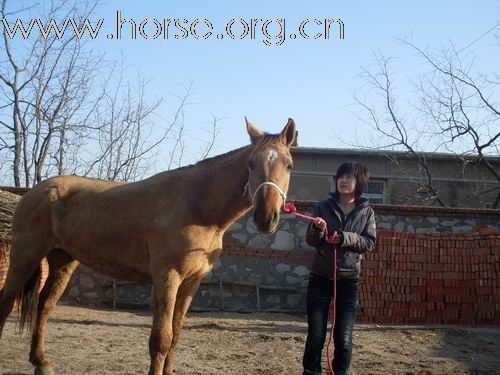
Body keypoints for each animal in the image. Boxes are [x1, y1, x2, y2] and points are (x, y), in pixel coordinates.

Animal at [0, 118, 296, 375]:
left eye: (289, 165)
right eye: (251, 163)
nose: (266, 217)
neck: (198, 206)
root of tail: (34, 192)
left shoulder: (191, 282)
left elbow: (175, 335)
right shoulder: (167, 277)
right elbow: (161, 339)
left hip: (63, 260)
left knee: (44, 306)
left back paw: (42, 362)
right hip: (25, 257)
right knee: (6, 303)